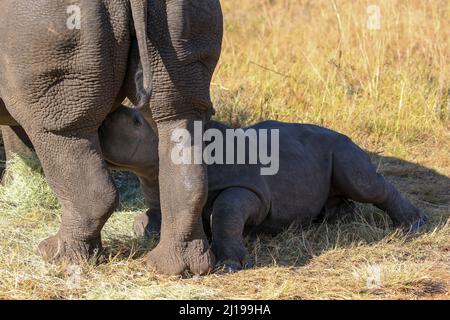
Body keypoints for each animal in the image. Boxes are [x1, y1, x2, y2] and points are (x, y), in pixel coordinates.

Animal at [0, 0, 223, 276]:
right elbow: (16, 139)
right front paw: (12, 185)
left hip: (41, 22)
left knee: (59, 130)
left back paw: (56, 255)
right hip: (181, 12)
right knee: (178, 118)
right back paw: (175, 267)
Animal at [100, 105, 428, 270]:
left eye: (135, 122)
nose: (102, 121)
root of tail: (344, 134)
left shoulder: (251, 190)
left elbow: (225, 211)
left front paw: (231, 264)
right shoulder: (155, 187)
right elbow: (149, 216)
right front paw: (147, 230)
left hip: (341, 145)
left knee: (363, 184)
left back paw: (414, 225)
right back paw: (337, 218)